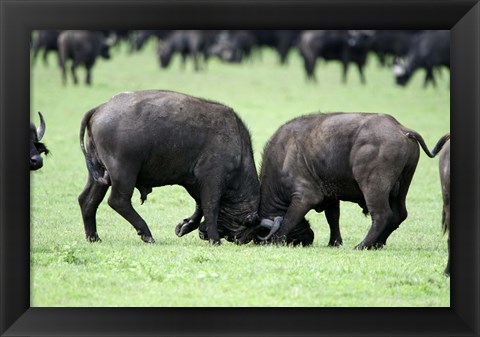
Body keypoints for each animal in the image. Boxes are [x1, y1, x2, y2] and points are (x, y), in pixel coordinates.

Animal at [79, 89, 260, 243]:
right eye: (246, 225)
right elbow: (210, 207)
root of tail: (100, 107)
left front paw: (184, 226)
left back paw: (93, 237)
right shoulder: (212, 179)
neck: (238, 147)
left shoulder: (193, 183)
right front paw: (214, 239)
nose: (240, 240)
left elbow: (200, 206)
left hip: (99, 173)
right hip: (123, 172)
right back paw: (146, 234)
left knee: (87, 200)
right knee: (118, 200)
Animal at [258, 112, 450, 247]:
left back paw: (363, 245)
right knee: (399, 214)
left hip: (373, 185)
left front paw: (276, 240)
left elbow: (289, 219)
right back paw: (377, 244)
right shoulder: (331, 196)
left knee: (383, 214)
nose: (308, 238)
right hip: (402, 185)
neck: (282, 156)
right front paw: (334, 243)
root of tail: (402, 129)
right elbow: (333, 218)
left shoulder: (305, 196)